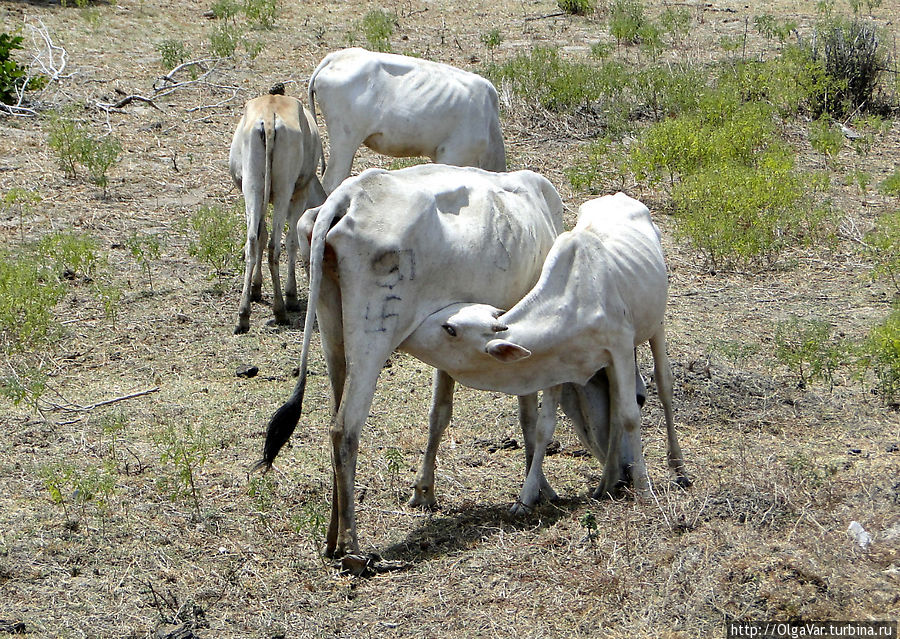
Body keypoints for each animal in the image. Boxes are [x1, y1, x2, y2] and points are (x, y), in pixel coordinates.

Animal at [229, 89, 326, 336]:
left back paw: (243, 316)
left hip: (252, 187)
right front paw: (292, 296)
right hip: (284, 189)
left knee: (253, 241)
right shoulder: (299, 194)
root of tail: (269, 116)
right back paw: (281, 309)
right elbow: (291, 241)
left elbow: (260, 237)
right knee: (275, 244)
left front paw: (256, 288)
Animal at [255, 165, 564, 560]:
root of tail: (348, 196)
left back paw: (332, 537)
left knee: (334, 415)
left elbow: (439, 414)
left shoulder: (449, 348)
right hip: (374, 338)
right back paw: (352, 547)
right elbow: (528, 417)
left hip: (332, 331)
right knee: (345, 429)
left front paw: (424, 490)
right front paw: (538, 487)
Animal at [404, 192, 692, 502]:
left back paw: (677, 468)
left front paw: (644, 487)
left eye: (450, 329)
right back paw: (606, 482)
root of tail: (618, 196)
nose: (409, 334)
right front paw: (527, 497)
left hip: (656, 325)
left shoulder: (621, 349)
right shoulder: (557, 365)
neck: (575, 303)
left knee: (663, 387)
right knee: (614, 409)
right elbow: (545, 426)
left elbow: (629, 416)